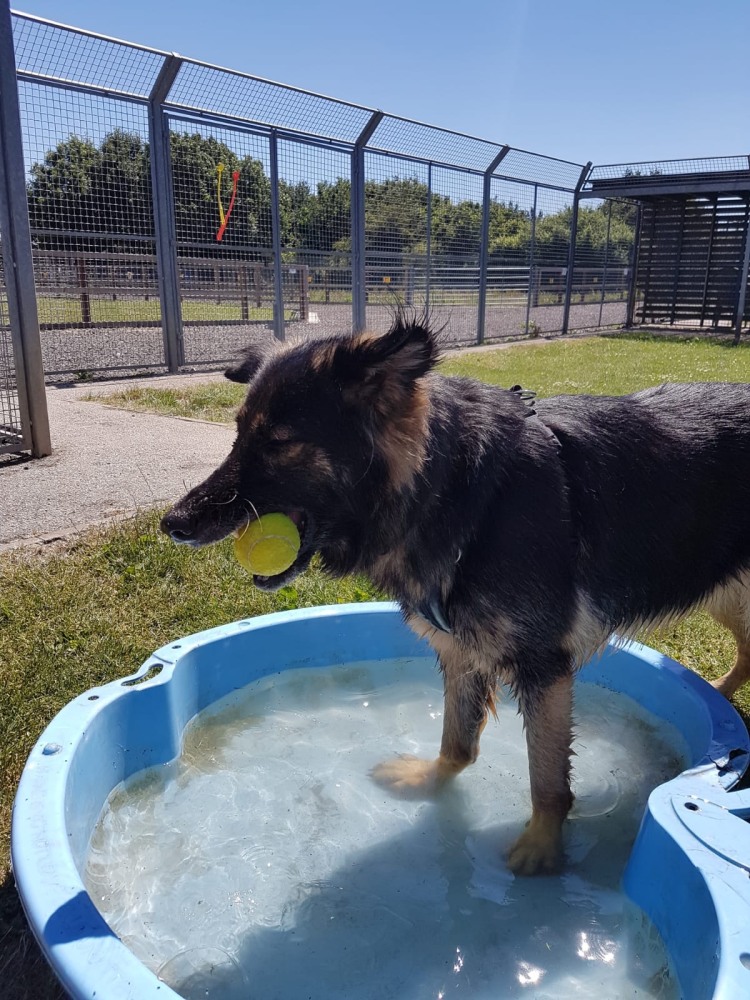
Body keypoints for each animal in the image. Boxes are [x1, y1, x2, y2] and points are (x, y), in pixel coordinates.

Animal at [162, 318, 750, 876]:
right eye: (239, 433)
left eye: (280, 442)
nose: (174, 524)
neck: (461, 491)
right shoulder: (462, 651)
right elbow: (457, 743)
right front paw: (431, 782)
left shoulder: (543, 668)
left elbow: (547, 779)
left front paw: (542, 846)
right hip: (729, 597)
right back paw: (719, 701)